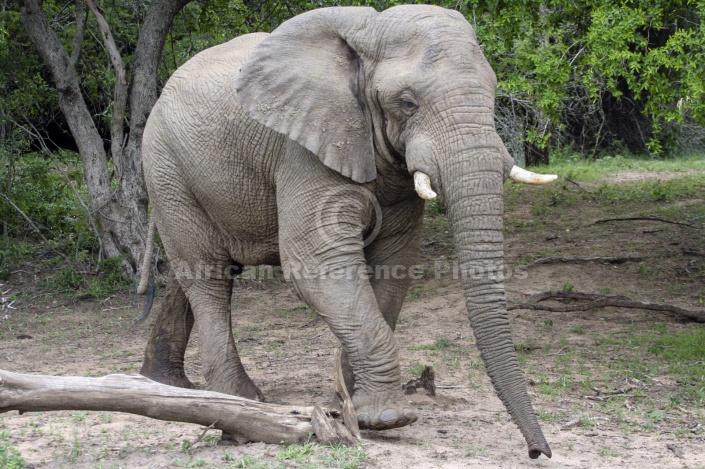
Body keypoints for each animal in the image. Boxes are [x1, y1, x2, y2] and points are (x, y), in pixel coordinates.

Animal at [138, 3, 556, 458]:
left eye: (493, 92)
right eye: (407, 103)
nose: (537, 452)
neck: (368, 33)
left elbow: (394, 264)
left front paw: (352, 406)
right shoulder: (304, 147)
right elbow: (315, 263)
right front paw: (388, 419)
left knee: (192, 272)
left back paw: (167, 383)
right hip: (165, 167)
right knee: (208, 275)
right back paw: (238, 407)